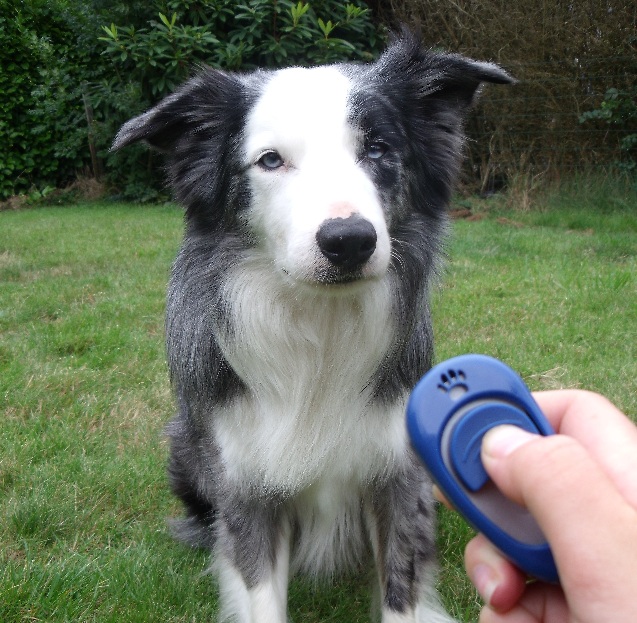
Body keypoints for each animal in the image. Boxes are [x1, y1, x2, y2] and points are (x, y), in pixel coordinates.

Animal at [114, 33, 512, 623]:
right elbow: (258, 592)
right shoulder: (247, 487)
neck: (320, 330)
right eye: (270, 160)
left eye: (377, 148)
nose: (349, 241)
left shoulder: (398, 478)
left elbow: (401, 591)